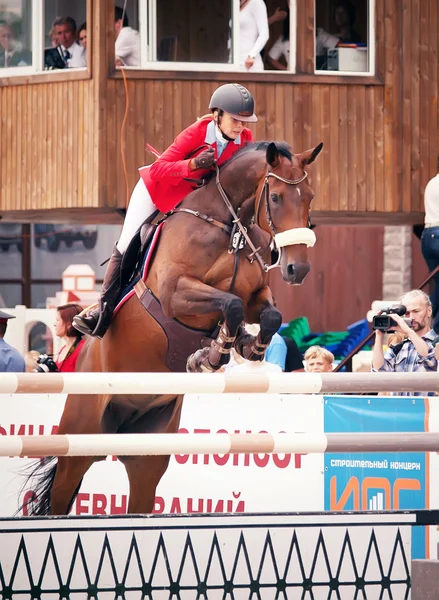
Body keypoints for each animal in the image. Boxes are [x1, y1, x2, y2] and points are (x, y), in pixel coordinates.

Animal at [23, 141, 324, 516]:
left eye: (309, 196)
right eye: (277, 197)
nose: (298, 269)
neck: (229, 226)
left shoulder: (255, 295)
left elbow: (265, 315)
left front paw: (244, 346)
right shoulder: (175, 293)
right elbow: (230, 304)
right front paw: (212, 356)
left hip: (147, 453)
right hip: (79, 438)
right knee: (62, 491)